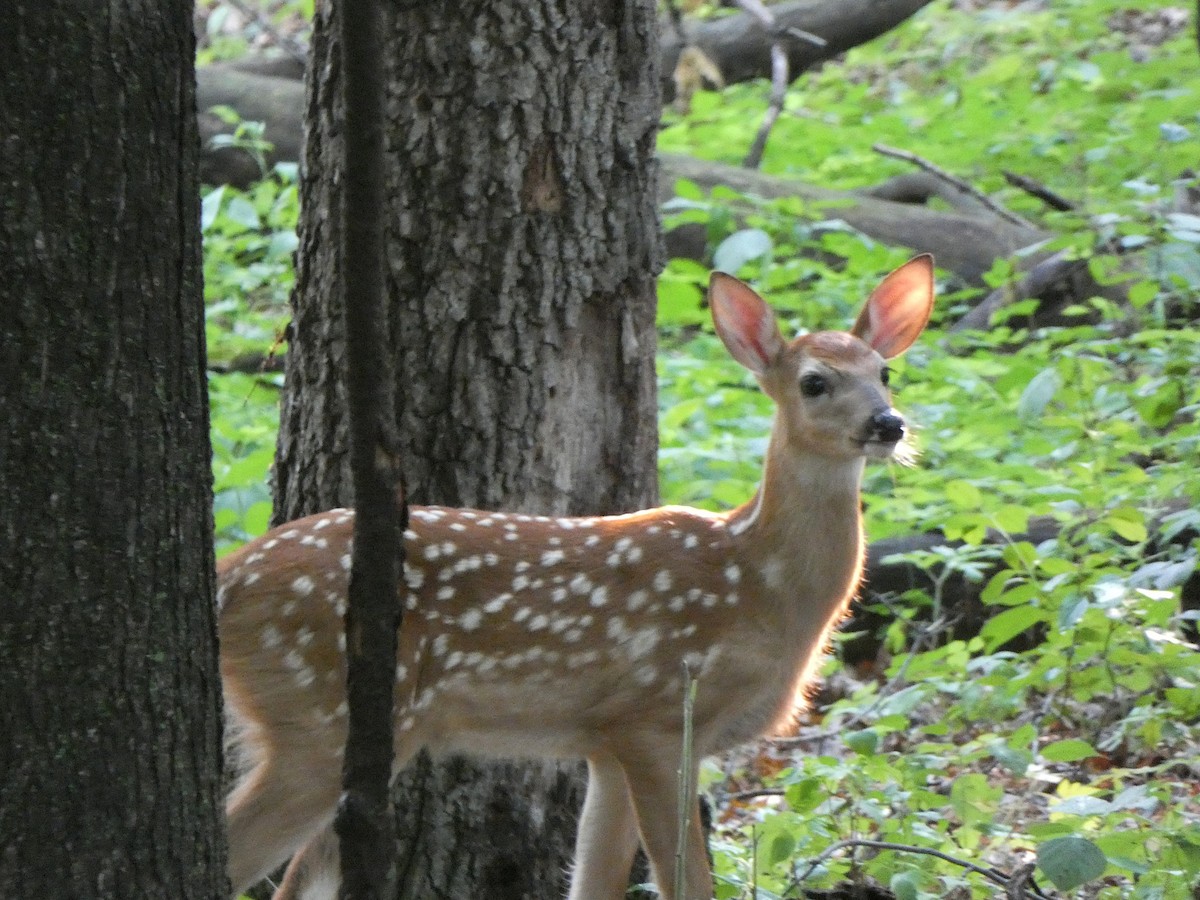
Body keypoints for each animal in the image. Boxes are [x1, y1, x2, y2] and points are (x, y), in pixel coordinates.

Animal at [218, 255, 935, 900]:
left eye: (884, 373)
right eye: (814, 382)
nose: (888, 423)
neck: (761, 582)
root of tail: (232, 578)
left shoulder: (606, 740)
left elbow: (593, 879)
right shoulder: (657, 715)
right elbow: (685, 881)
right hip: (317, 714)